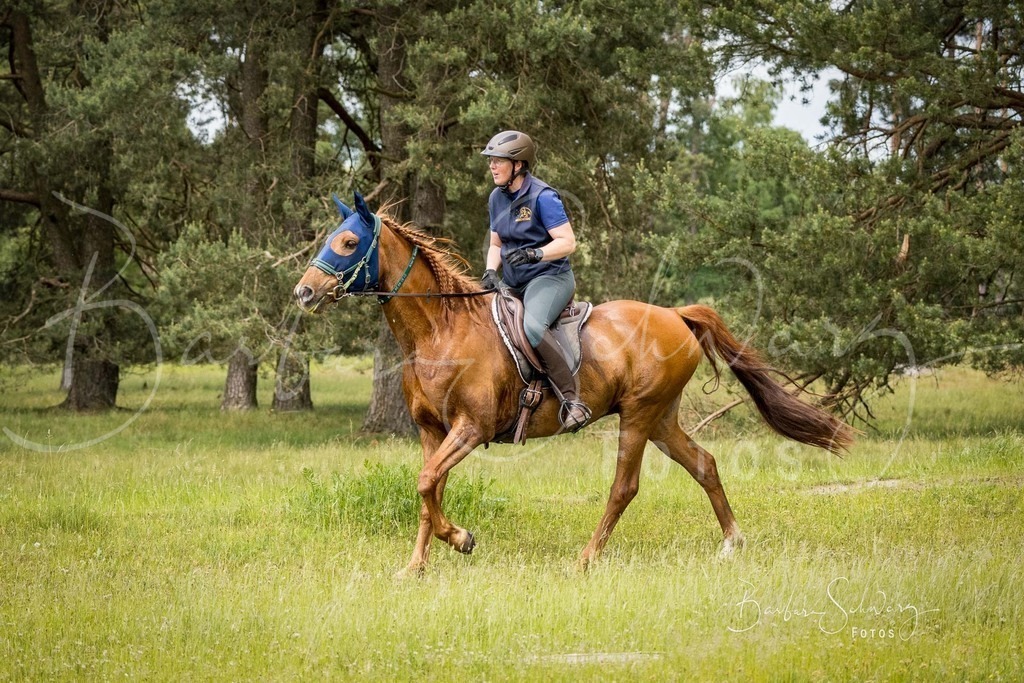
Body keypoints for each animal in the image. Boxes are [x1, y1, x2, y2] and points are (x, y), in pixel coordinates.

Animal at [294, 192, 854, 576]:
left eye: (348, 243)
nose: (304, 293)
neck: (440, 332)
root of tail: (676, 314)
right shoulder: (433, 432)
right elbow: (429, 490)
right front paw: (416, 566)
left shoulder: (471, 429)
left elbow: (428, 483)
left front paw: (463, 539)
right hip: (662, 418)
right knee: (704, 465)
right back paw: (733, 542)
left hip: (639, 415)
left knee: (624, 487)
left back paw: (586, 558)